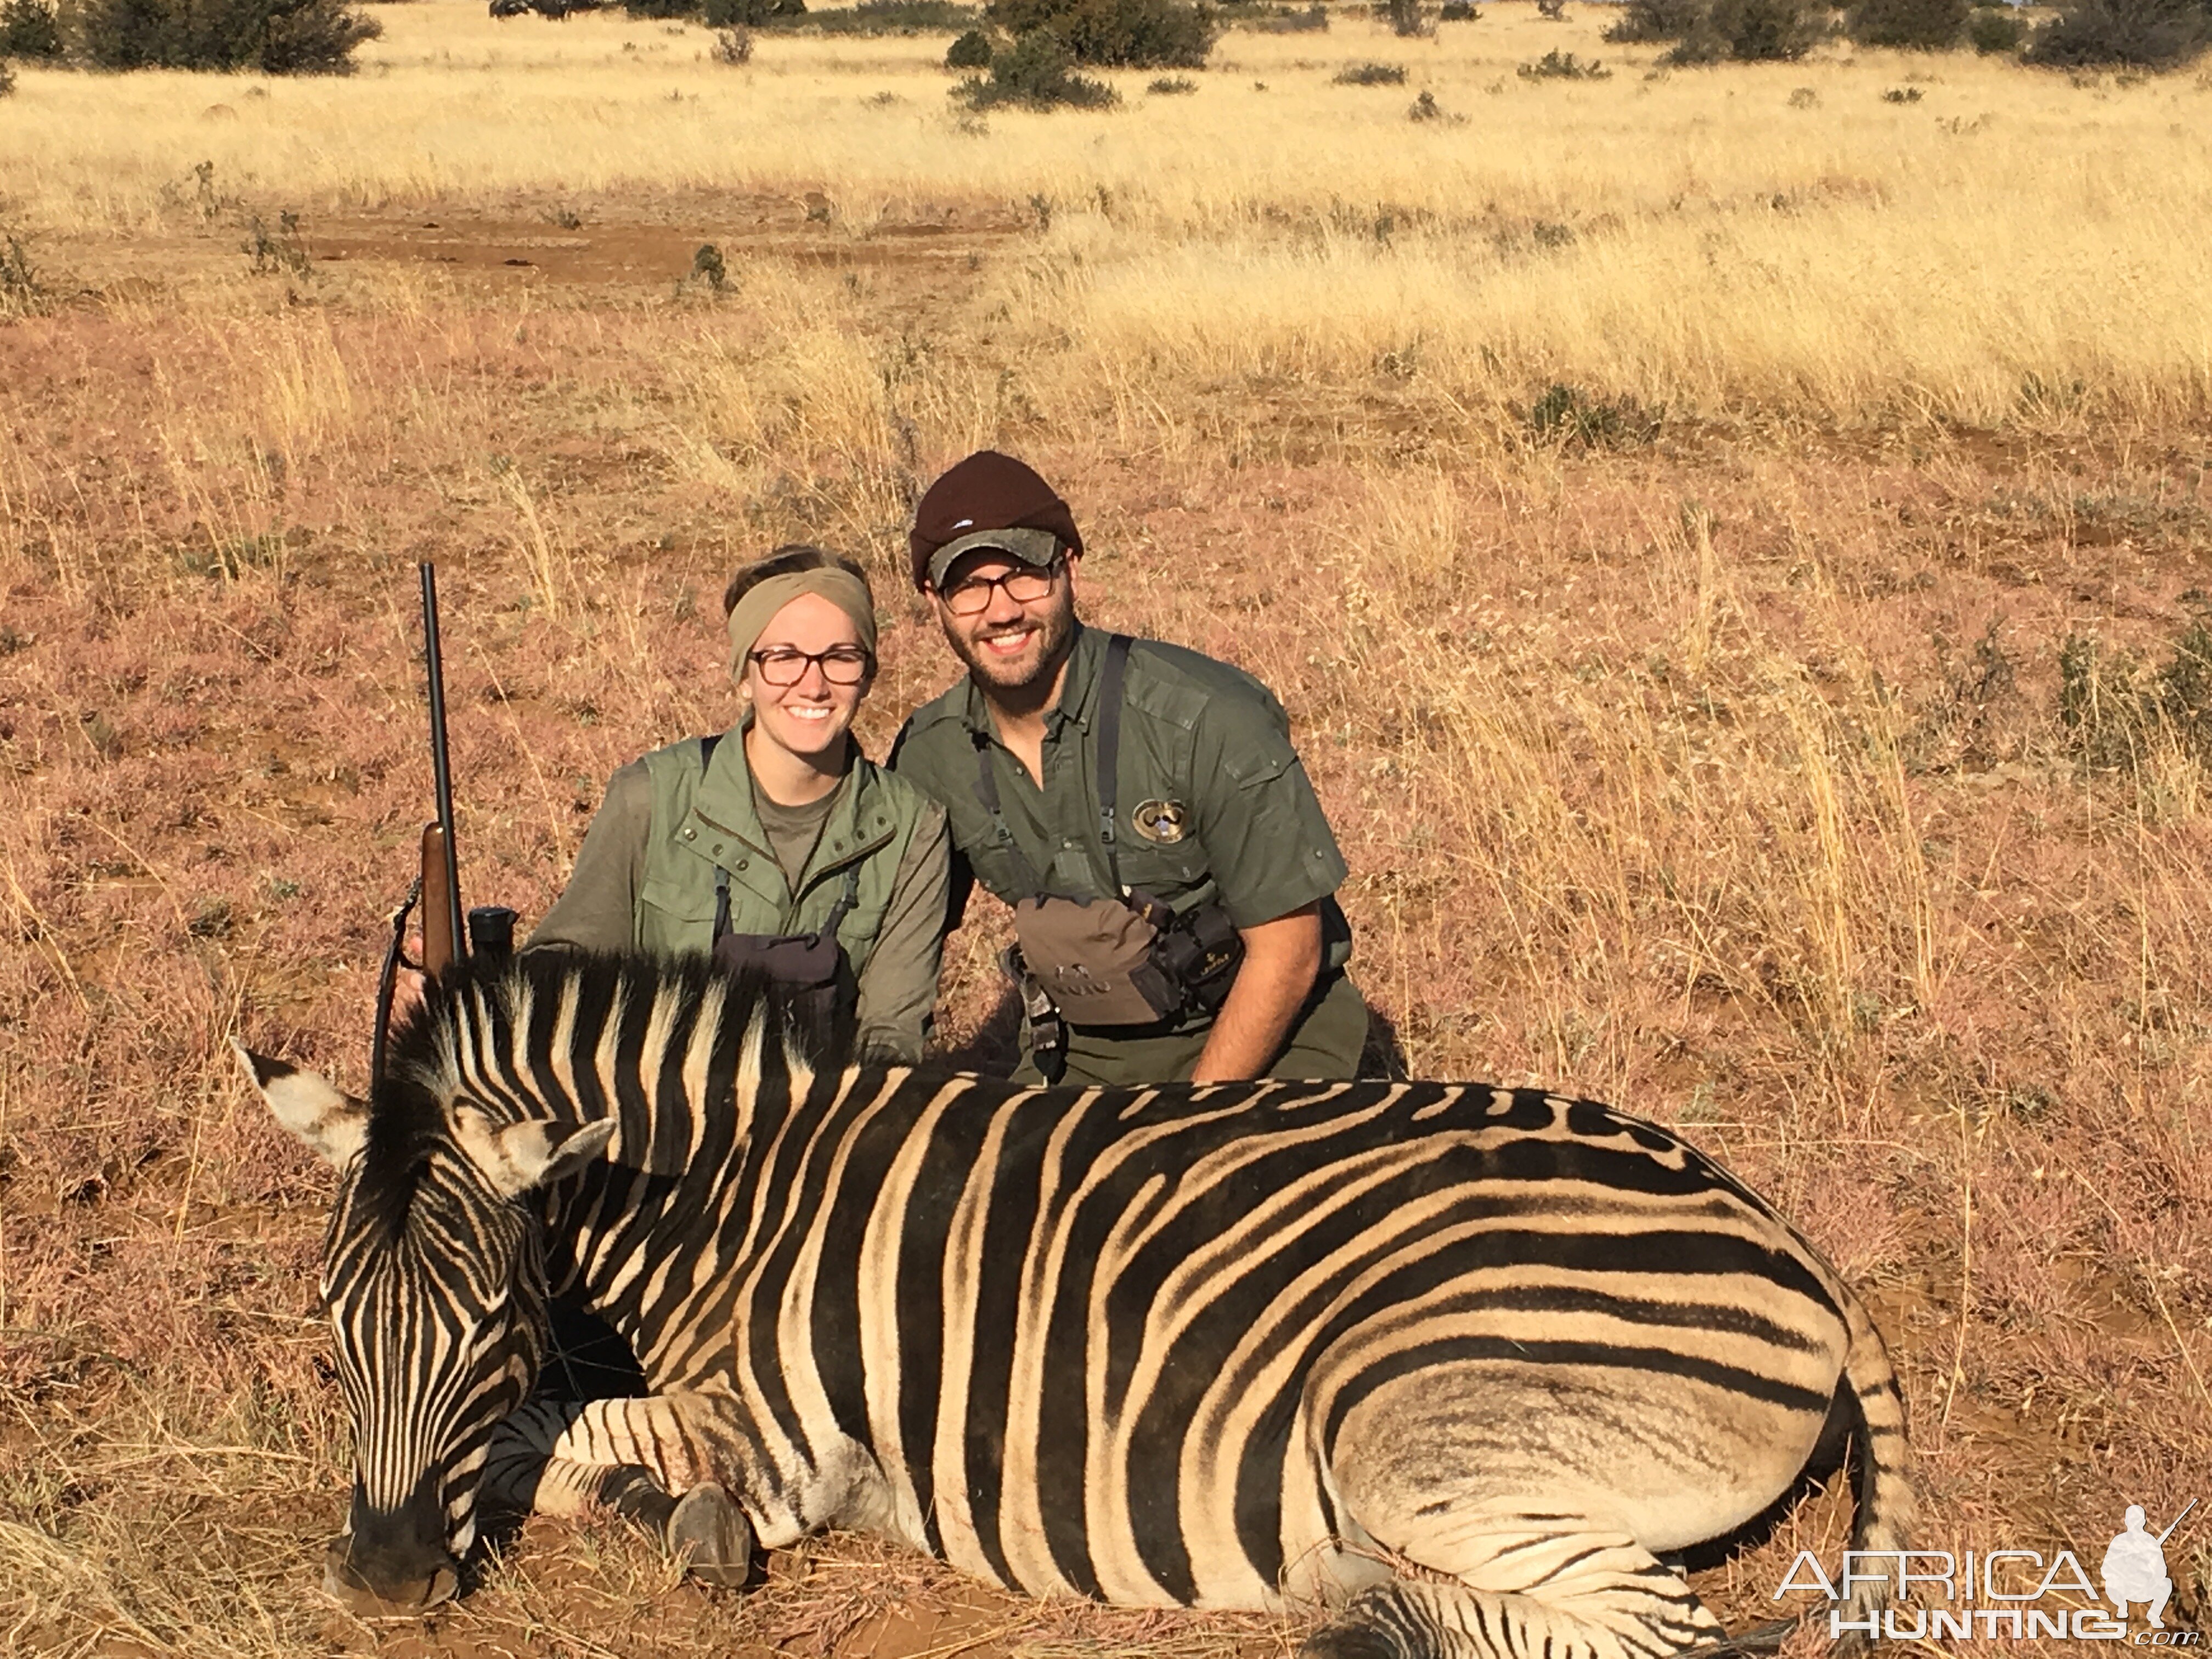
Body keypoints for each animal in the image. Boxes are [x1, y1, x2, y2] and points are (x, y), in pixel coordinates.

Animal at [238, 955, 1902, 1654]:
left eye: (487, 1324)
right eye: (330, 1326)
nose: (382, 1585)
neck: (734, 1194)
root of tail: (1788, 1241)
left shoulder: (779, 1440)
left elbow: (550, 1440)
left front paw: (673, 1521)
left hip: (1410, 1430)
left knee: (1661, 1633)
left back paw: (1360, 1616)